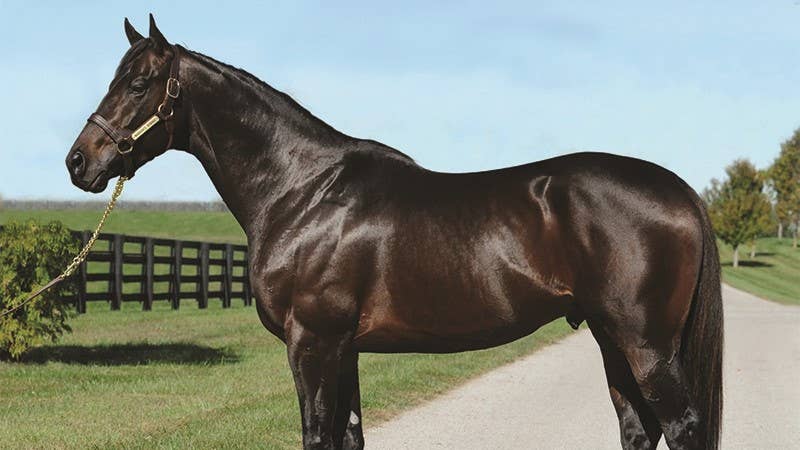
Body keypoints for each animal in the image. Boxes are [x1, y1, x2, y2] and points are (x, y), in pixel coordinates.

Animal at [65, 16, 723, 450]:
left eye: (138, 85)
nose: (79, 162)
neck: (302, 191)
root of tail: (680, 190)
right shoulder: (344, 349)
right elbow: (348, 439)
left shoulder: (312, 344)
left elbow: (317, 436)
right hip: (614, 340)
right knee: (639, 430)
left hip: (645, 345)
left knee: (681, 429)